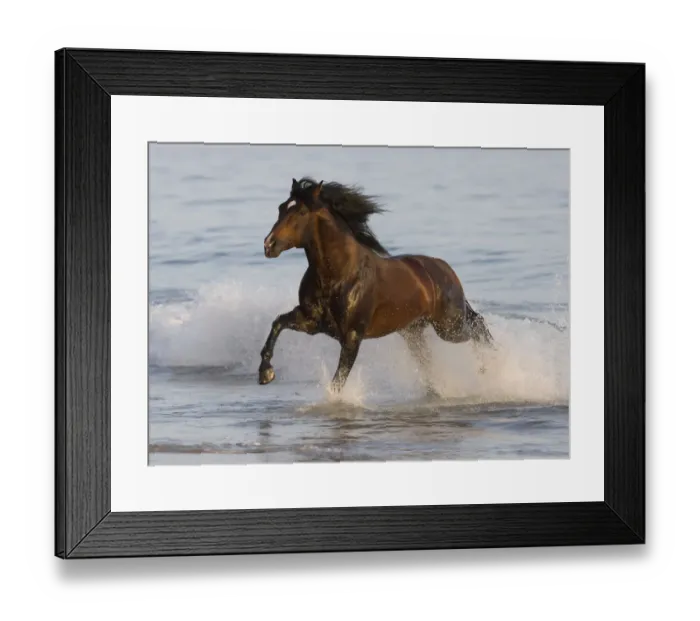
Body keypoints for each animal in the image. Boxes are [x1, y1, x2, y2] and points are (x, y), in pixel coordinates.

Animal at [258, 177, 494, 396]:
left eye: (300, 212)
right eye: (281, 208)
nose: (269, 245)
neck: (338, 275)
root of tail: (445, 269)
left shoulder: (352, 335)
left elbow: (339, 380)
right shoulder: (312, 322)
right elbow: (278, 323)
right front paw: (265, 373)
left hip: (449, 326)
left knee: (478, 326)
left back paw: (488, 367)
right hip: (413, 332)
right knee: (431, 357)